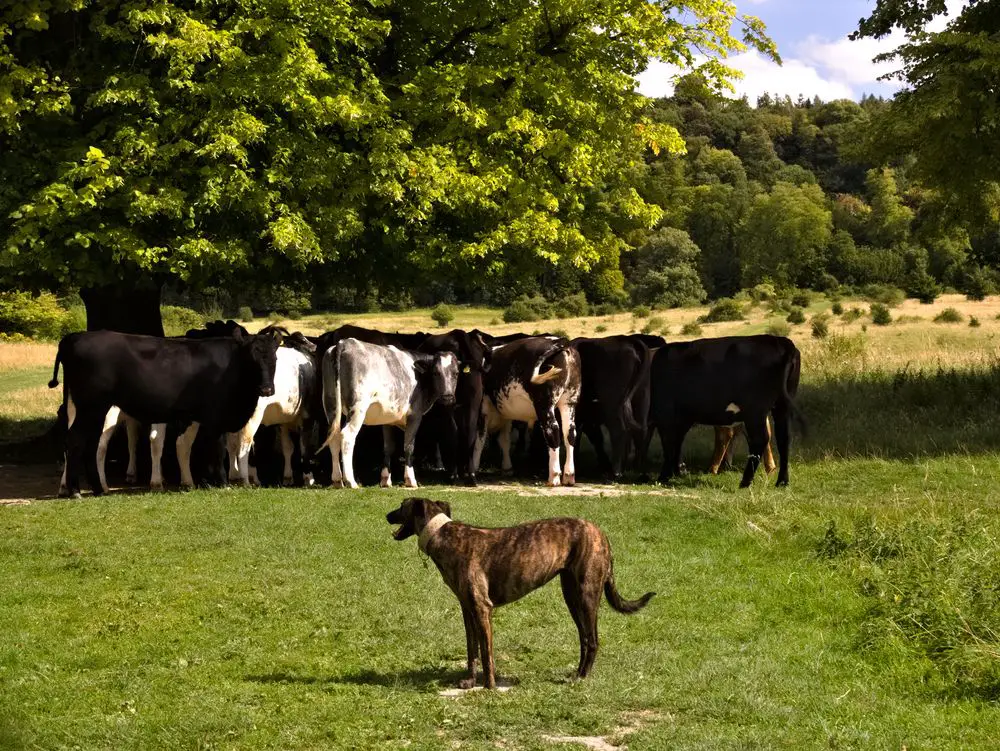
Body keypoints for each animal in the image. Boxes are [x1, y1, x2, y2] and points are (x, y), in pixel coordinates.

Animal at [49, 330, 280, 496]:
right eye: (252, 359)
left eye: (274, 359)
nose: (267, 389)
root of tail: (74, 337)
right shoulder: (215, 419)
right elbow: (217, 450)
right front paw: (222, 482)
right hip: (91, 406)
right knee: (75, 440)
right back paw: (75, 491)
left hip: (95, 410)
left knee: (91, 443)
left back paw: (96, 489)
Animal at [320, 338, 460, 490]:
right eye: (435, 372)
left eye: (456, 373)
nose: (448, 397)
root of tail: (344, 343)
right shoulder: (415, 416)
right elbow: (409, 447)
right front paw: (410, 480)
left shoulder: (388, 419)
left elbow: (388, 448)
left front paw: (386, 480)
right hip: (358, 408)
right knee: (347, 437)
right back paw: (351, 481)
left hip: (331, 405)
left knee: (333, 437)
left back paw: (337, 480)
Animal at [384, 496, 656, 692]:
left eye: (402, 505)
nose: (386, 515)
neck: (444, 535)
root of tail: (602, 534)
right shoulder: (468, 610)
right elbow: (472, 649)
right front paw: (470, 682)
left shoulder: (482, 608)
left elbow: (487, 653)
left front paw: (489, 687)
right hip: (572, 596)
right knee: (584, 638)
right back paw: (577, 673)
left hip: (587, 595)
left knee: (593, 639)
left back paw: (582, 677)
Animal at [472, 336, 584, 488]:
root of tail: (560, 341)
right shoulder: (505, 413)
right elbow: (505, 440)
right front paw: (507, 467)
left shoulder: (483, 409)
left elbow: (480, 439)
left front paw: (474, 468)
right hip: (569, 402)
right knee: (570, 433)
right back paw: (569, 475)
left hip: (544, 405)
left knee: (553, 432)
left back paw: (554, 476)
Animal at [648, 334, 804, 488]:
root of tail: (781, 342)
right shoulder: (683, 417)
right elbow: (677, 442)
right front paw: (676, 471)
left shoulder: (665, 412)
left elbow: (669, 443)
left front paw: (664, 476)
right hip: (781, 406)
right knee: (784, 438)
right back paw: (782, 481)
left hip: (755, 411)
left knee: (760, 439)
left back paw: (745, 481)